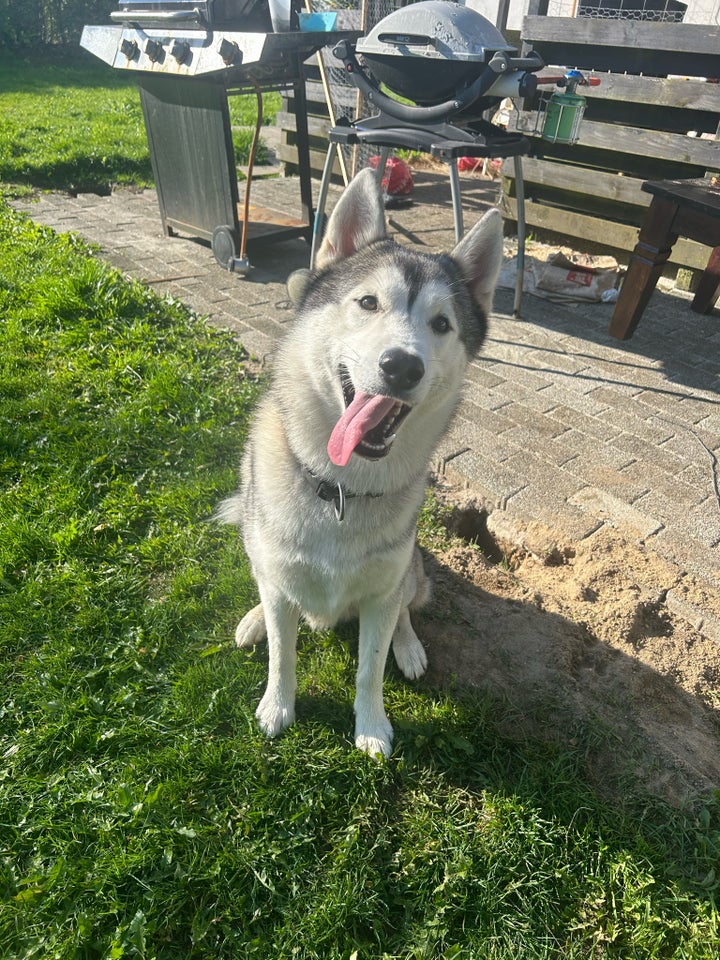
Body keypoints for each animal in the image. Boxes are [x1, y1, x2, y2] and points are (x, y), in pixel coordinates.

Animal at [217, 167, 504, 756]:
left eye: (442, 324)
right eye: (369, 303)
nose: (402, 366)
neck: (342, 488)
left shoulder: (380, 593)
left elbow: (370, 667)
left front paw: (371, 726)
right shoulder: (278, 574)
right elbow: (283, 653)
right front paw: (277, 707)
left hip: (411, 570)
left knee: (408, 608)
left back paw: (410, 646)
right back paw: (254, 619)